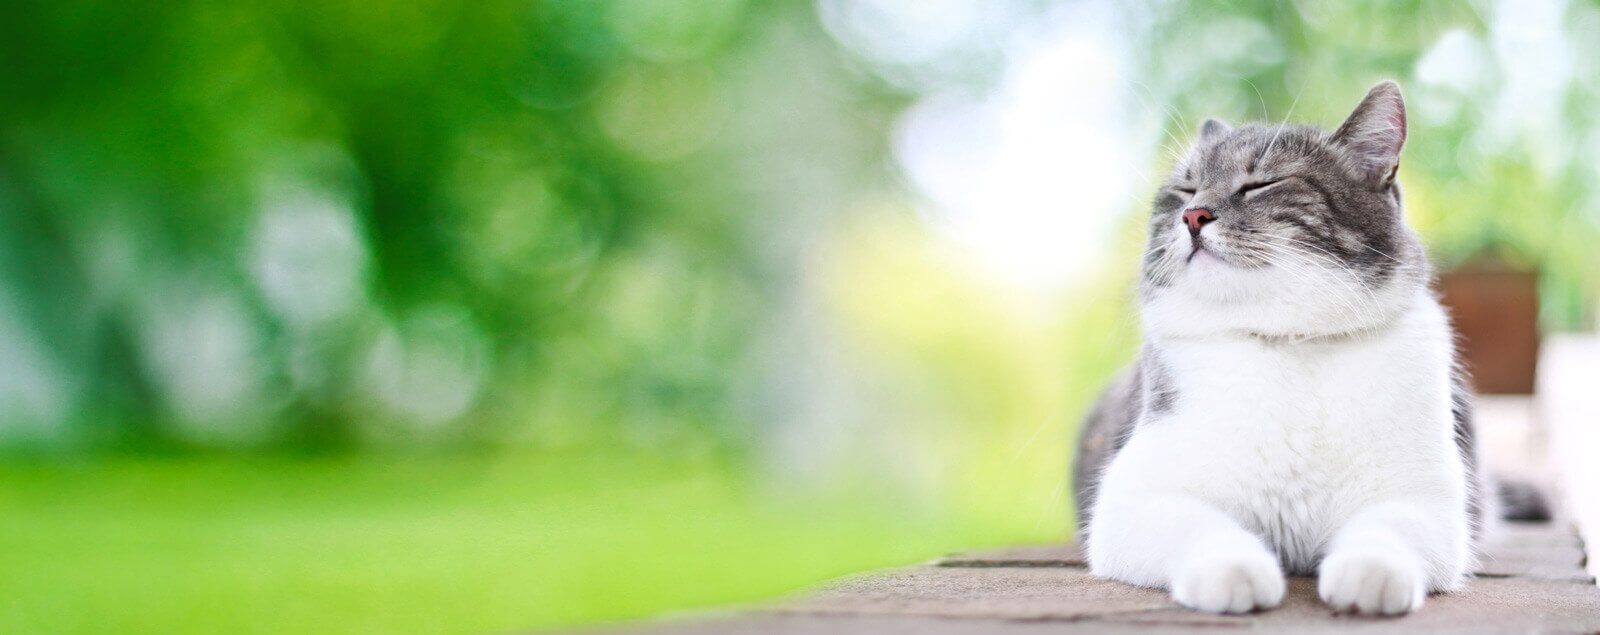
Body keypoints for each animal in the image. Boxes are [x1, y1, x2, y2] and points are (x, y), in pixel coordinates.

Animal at [1068, 82, 1529, 614]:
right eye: (1183, 190)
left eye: (1261, 183)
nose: (1192, 215)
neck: (1288, 342)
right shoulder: (1132, 501)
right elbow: (1199, 527)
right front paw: (1235, 571)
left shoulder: (1423, 502)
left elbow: (1387, 531)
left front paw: (1371, 573)